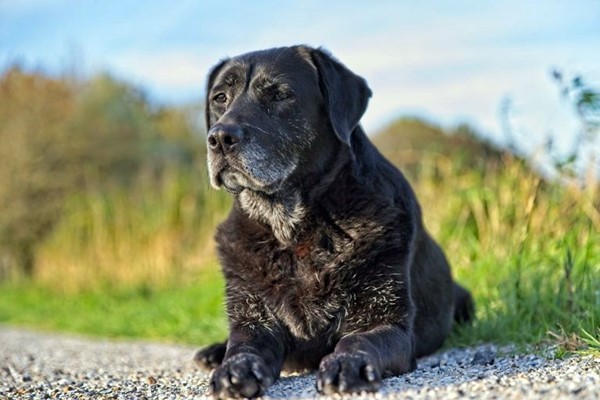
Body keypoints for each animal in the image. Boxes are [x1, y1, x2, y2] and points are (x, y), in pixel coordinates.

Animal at [197, 46, 474, 396]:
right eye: (220, 98)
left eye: (280, 95)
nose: (220, 137)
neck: (292, 230)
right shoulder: (253, 320)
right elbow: (242, 346)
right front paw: (233, 368)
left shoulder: (386, 322)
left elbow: (358, 341)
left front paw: (347, 363)